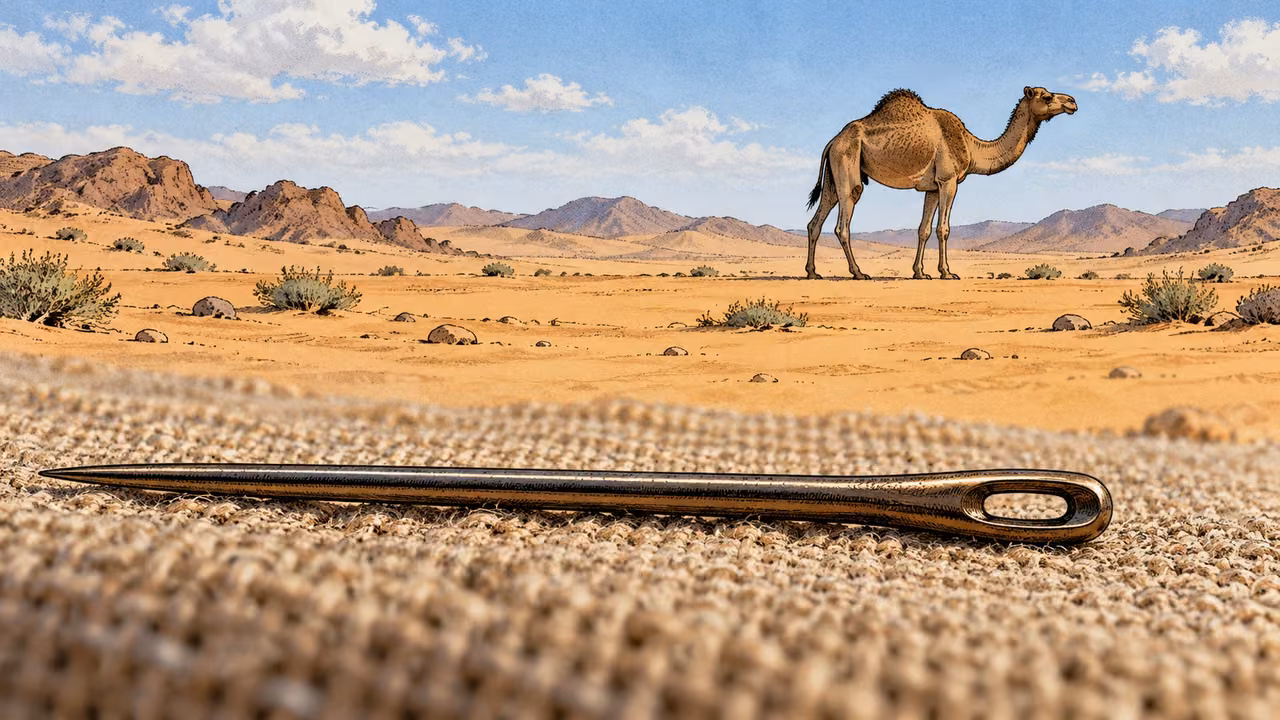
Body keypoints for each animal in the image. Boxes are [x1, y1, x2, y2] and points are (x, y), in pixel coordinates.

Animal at [804, 86, 1077, 279]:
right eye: (1047, 97)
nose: (1072, 101)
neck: (971, 146)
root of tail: (833, 140)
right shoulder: (948, 180)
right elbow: (943, 229)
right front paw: (946, 272)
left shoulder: (933, 187)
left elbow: (923, 229)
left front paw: (919, 272)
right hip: (847, 161)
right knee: (844, 218)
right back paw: (859, 273)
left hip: (833, 173)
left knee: (816, 219)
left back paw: (813, 272)